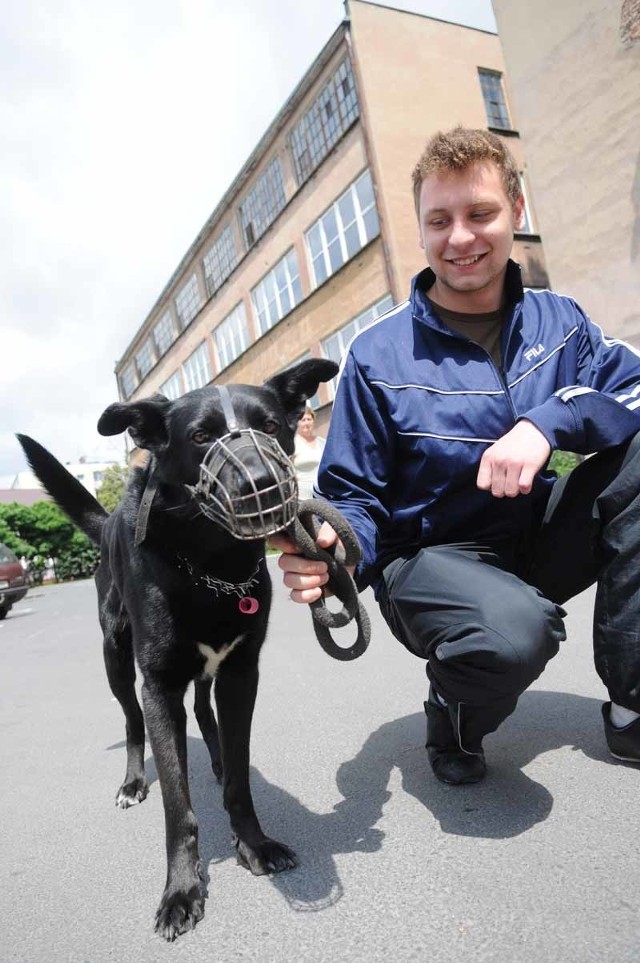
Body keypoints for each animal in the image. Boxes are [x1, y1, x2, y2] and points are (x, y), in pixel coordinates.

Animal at [15, 360, 338, 940]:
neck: (211, 564)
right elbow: (176, 804)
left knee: (206, 714)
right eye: (201, 437)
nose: (261, 483)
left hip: (210, 672)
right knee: (130, 721)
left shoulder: (241, 673)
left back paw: (215, 760)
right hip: (116, 661)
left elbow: (240, 773)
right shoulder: (159, 686)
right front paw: (182, 890)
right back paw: (131, 781)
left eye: (271, 426)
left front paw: (253, 843)